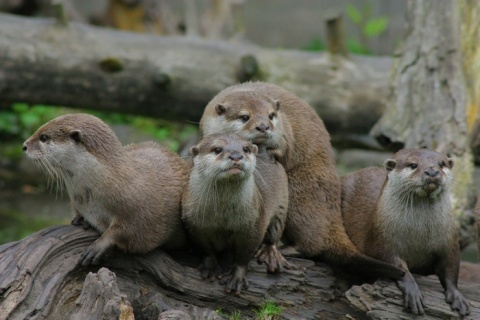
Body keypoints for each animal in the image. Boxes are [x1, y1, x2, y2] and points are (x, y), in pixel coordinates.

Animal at [23, 114, 188, 266]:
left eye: (44, 137)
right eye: (39, 131)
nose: (24, 146)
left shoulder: (140, 210)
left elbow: (128, 230)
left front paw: (98, 246)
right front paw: (82, 219)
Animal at [183, 133, 288, 296]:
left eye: (245, 149)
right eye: (217, 149)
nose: (236, 156)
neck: (223, 217)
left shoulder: (253, 225)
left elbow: (244, 254)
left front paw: (236, 278)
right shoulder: (194, 225)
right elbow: (205, 248)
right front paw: (210, 267)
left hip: (282, 204)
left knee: (275, 230)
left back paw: (271, 253)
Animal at [199, 81, 404, 278]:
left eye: (271, 115)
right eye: (244, 117)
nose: (264, 127)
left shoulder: (286, 129)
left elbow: (286, 147)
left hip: (301, 194)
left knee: (312, 244)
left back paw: (282, 250)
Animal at [342, 149, 468, 316]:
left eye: (441, 164)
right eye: (413, 165)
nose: (432, 171)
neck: (420, 236)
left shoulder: (450, 243)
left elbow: (451, 269)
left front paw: (457, 296)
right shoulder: (383, 242)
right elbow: (397, 265)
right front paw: (412, 291)